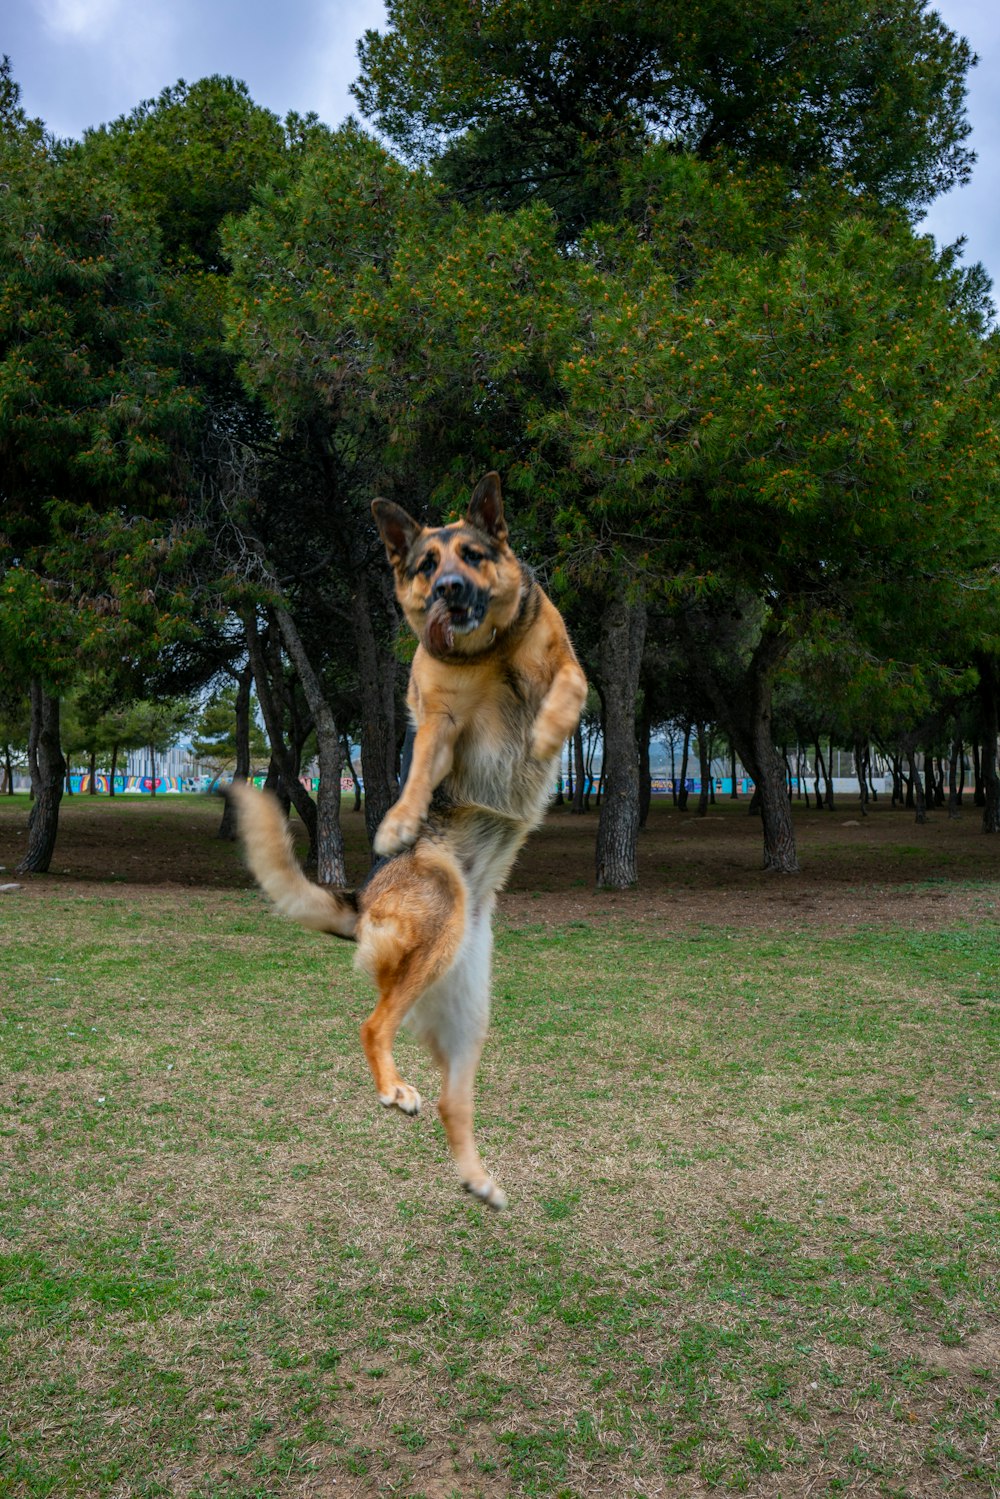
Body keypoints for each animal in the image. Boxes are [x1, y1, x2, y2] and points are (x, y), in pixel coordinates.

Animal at [230, 473, 590, 1211]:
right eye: (427, 565)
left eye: (474, 555)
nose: (450, 589)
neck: (490, 656)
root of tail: (362, 899)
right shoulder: (441, 718)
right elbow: (422, 762)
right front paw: (398, 819)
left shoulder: (568, 662)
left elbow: (568, 686)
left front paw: (544, 731)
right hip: (436, 924)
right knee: (372, 1025)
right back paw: (394, 1089)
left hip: (468, 1012)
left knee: (454, 1102)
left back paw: (477, 1179)